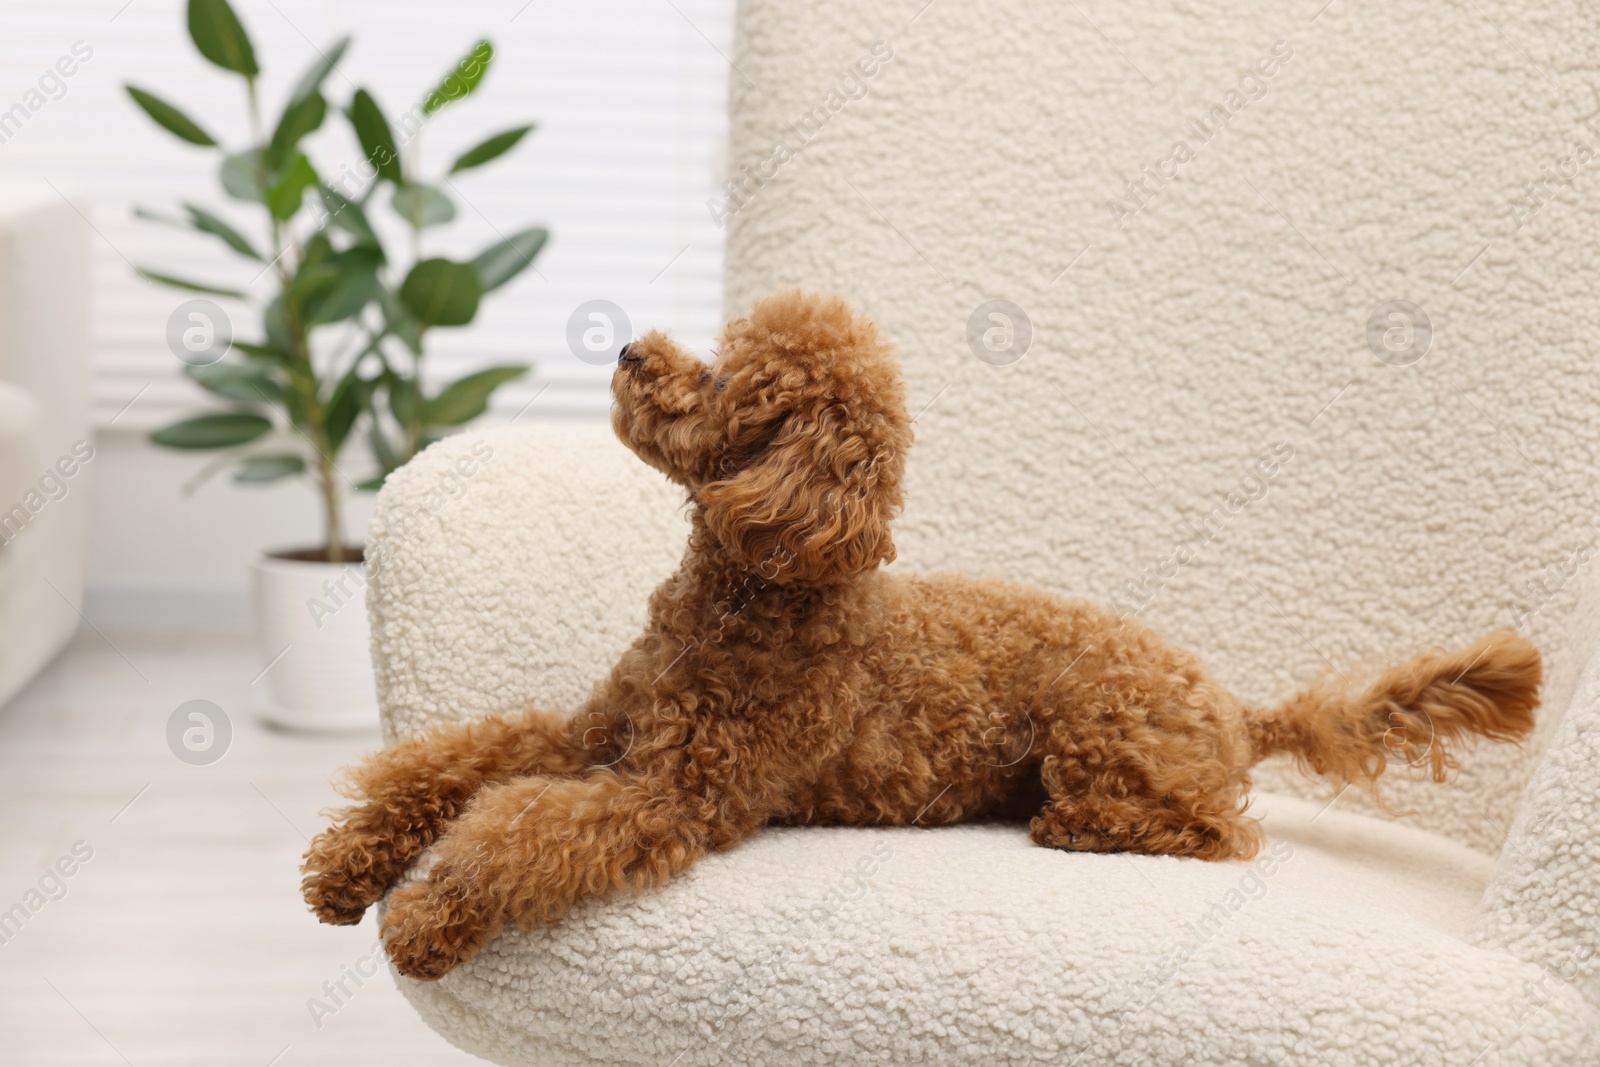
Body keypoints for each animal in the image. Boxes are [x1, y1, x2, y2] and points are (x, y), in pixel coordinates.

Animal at [297, 287, 1536, 979]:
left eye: (729, 381)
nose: (630, 352)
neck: (755, 594)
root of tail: (1234, 705)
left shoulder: (674, 792)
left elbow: (516, 831)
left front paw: (426, 916)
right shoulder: (591, 732)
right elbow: (455, 762)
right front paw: (345, 867)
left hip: (1101, 735)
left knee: (1219, 832)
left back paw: (1080, 827)